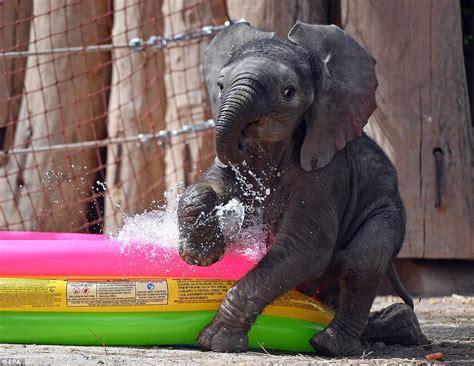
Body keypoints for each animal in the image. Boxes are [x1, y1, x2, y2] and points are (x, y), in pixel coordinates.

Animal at [178, 21, 418, 356]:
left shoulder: (327, 174)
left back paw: (332, 344)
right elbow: (210, 185)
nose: (240, 140)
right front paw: (202, 257)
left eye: (288, 92)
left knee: (362, 260)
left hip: (387, 210)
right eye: (221, 86)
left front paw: (215, 342)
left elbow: (304, 250)